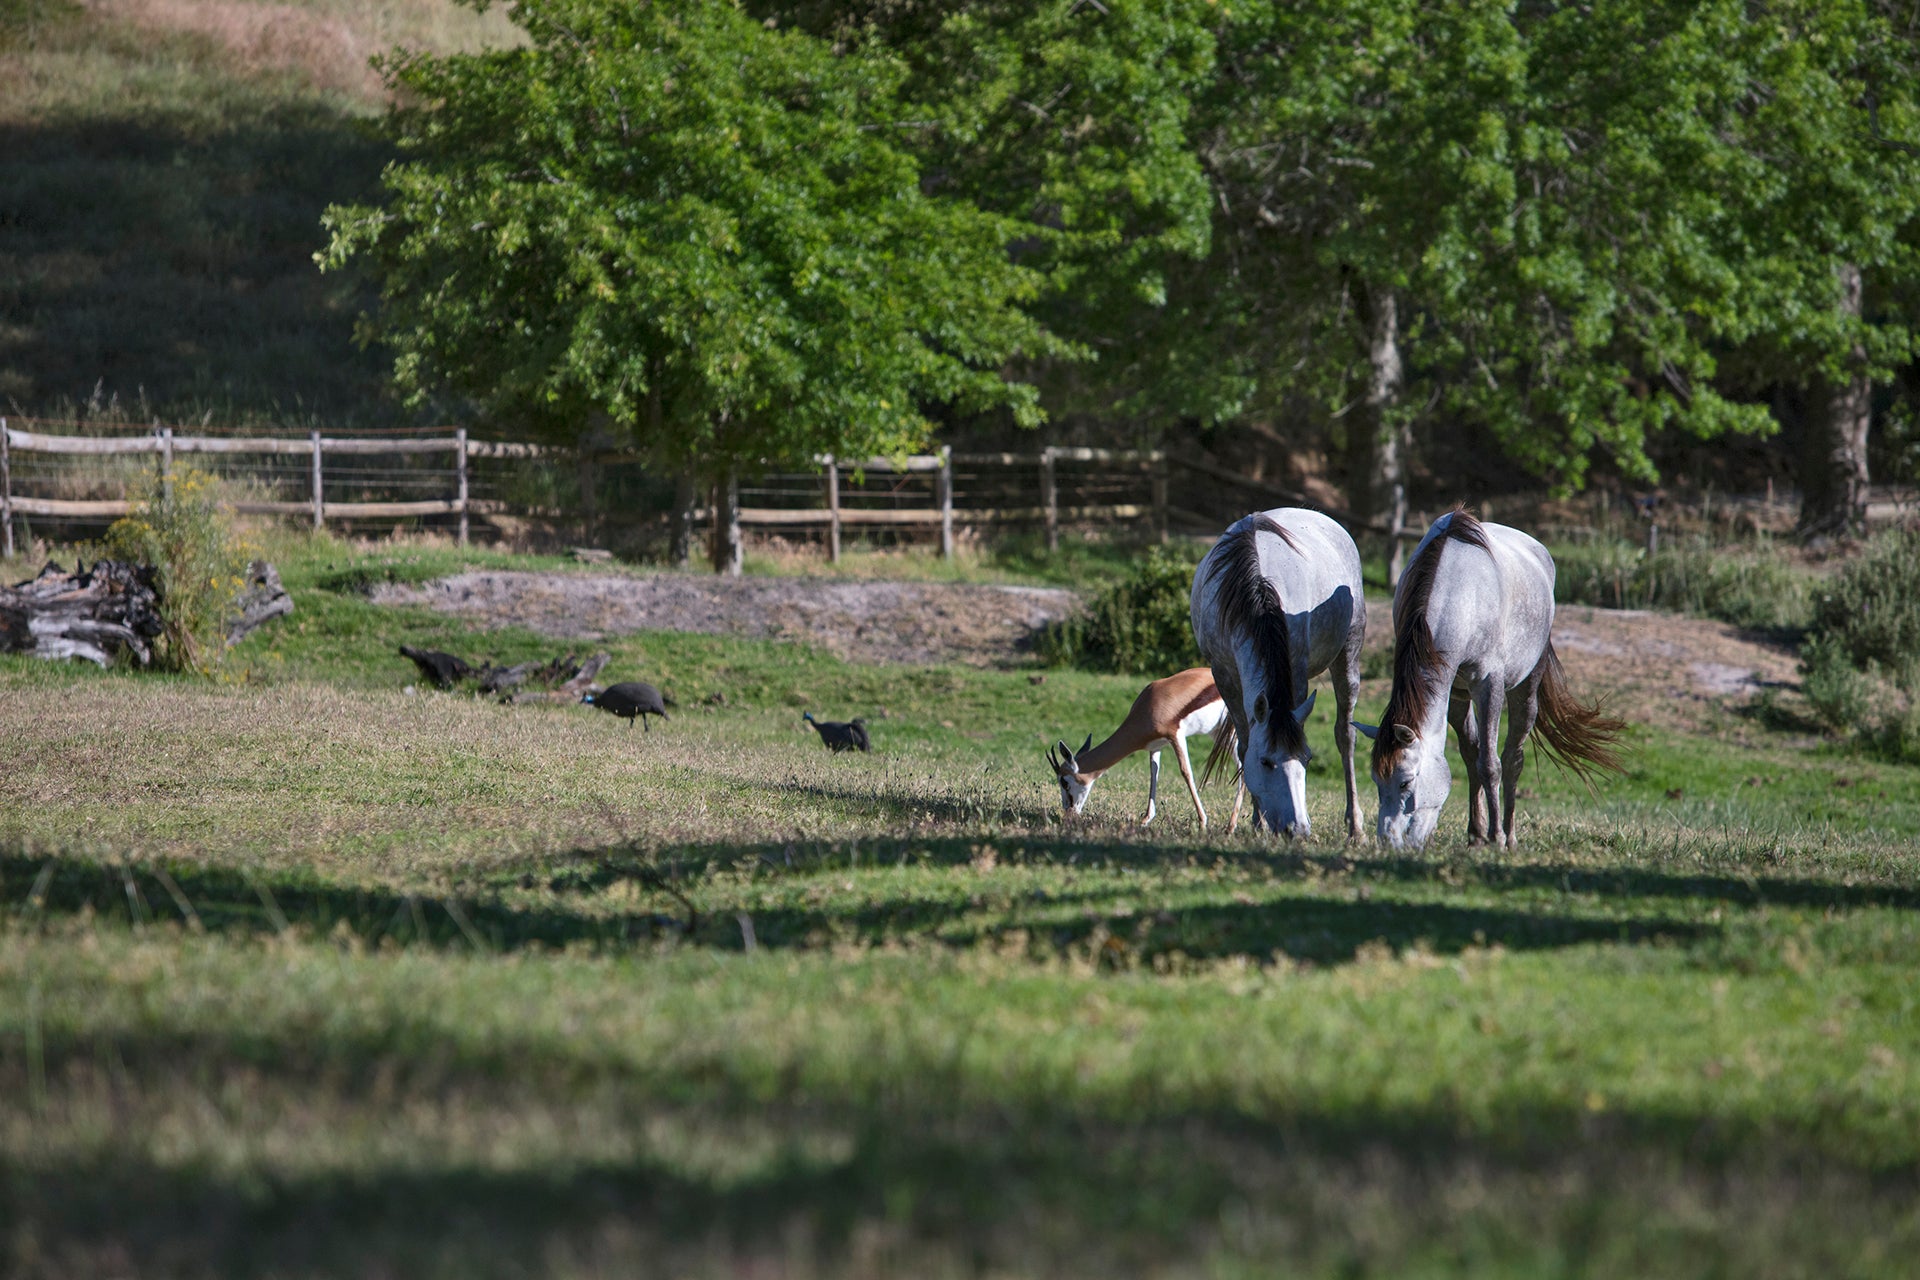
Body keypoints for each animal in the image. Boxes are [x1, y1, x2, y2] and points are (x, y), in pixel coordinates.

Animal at [1048, 667, 1246, 831]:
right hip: (1218, 733)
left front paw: (1203, 822)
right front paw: (1145, 820)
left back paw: (1231, 827)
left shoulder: (1176, 736)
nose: (1068, 814)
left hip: (1229, 732)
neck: (1148, 706)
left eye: (1064, 782)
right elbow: (1154, 774)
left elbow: (1186, 772)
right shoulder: (1155, 746)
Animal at [1189, 508, 1366, 838]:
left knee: (1345, 734)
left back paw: (1356, 825)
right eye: (1266, 761)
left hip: (1349, 652)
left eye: (1307, 758)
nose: (1298, 828)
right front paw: (1258, 821)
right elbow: (1244, 743)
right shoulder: (1224, 674)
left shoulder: (1296, 670)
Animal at [1356, 508, 1625, 849]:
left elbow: (1490, 764)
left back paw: (1509, 834)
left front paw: (1495, 836)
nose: (1388, 841)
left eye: (1404, 783)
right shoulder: (1456, 691)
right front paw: (1476, 833)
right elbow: (1472, 757)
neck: (1460, 595)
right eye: (1377, 781)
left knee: (1513, 758)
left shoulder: (1488, 685)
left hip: (1526, 688)